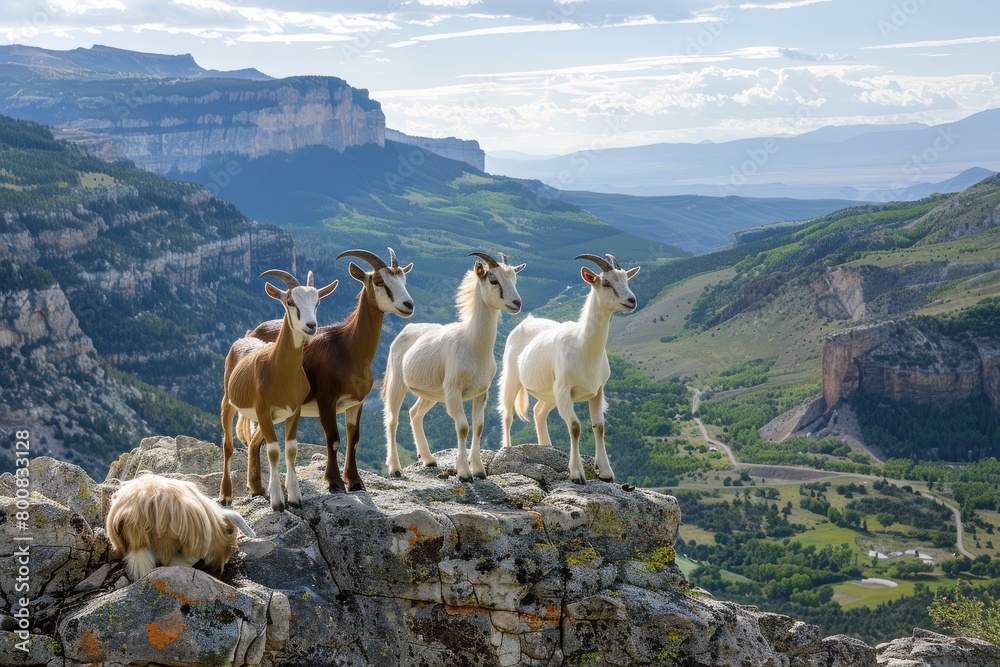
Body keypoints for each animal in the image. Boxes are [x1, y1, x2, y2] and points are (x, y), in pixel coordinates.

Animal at [220, 269, 338, 511]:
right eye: (290, 302)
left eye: (317, 302)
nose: (311, 326)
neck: (278, 370)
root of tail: (243, 338)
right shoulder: (264, 409)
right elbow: (273, 450)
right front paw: (277, 502)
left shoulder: (294, 411)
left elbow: (291, 449)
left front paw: (295, 498)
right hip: (229, 400)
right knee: (228, 444)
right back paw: (226, 495)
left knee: (253, 442)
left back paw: (255, 488)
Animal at [239, 248, 414, 494]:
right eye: (379, 281)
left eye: (403, 280)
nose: (408, 305)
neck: (347, 349)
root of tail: (252, 332)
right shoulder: (326, 400)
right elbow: (333, 439)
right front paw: (335, 482)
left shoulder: (356, 402)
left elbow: (354, 438)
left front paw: (355, 481)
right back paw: (257, 487)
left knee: (255, 440)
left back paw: (256, 487)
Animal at [383, 252, 525, 481]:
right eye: (493, 279)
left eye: (514, 278)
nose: (516, 303)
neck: (472, 344)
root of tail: (406, 329)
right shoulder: (453, 391)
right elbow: (463, 427)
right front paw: (464, 473)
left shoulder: (481, 392)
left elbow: (478, 426)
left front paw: (479, 470)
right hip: (398, 382)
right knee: (392, 420)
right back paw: (395, 468)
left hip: (430, 392)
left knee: (415, 414)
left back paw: (429, 460)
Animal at [498, 253, 639, 484]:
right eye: (606, 282)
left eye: (626, 279)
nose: (631, 301)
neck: (583, 346)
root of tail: (525, 322)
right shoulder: (564, 389)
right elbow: (574, 427)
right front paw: (577, 473)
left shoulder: (598, 390)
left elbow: (599, 426)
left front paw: (606, 473)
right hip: (513, 377)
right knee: (508, 414)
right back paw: (507, 449)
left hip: (550, 393)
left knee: (538, 412)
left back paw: (546, 446)